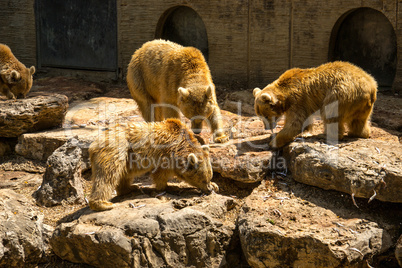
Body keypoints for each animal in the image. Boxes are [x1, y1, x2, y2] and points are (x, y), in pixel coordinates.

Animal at [89, 118, 218, 210]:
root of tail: (93, 144)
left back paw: (131, 188)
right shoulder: (165, 155)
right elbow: (161, 176)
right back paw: (103, 204)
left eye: (209, 177)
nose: (209, 190)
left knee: (123, 175)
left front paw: (215, 185)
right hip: (116, 150)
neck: (180, 146)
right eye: (203, 180)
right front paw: (170, 187)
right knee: (107, 175)